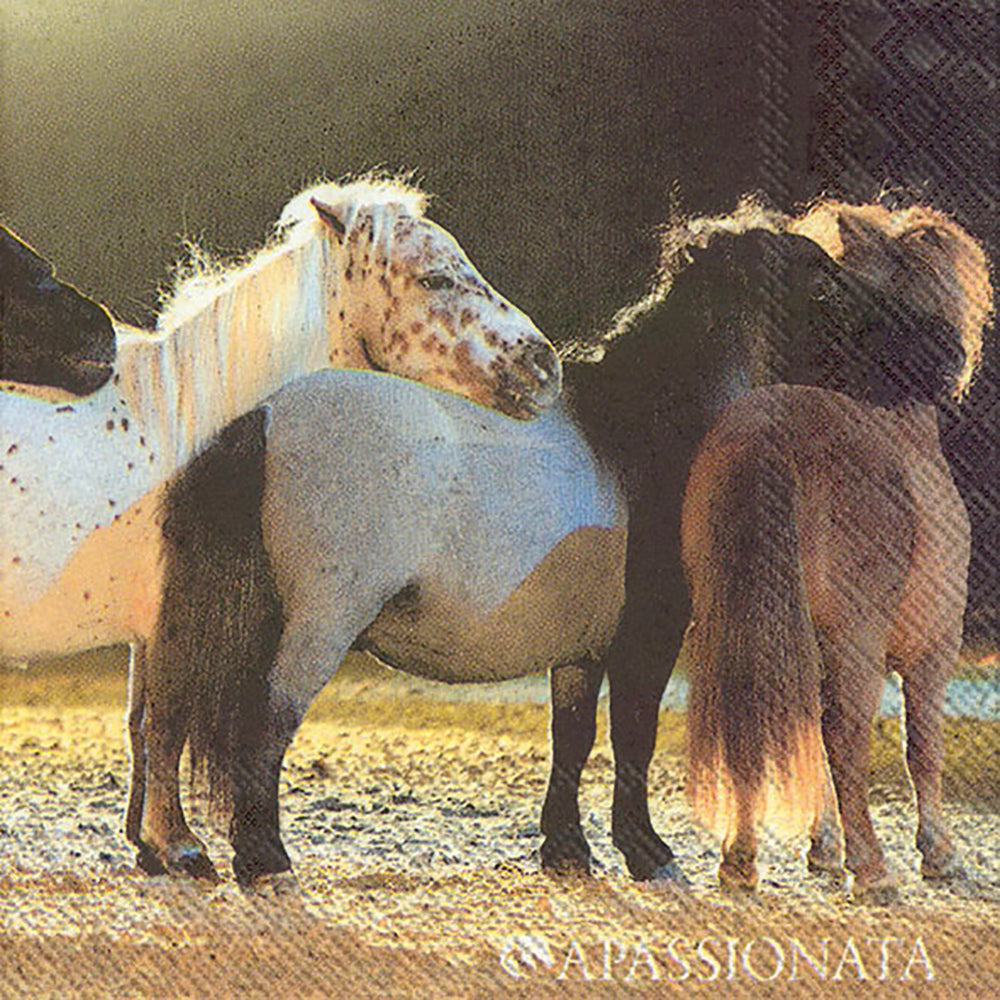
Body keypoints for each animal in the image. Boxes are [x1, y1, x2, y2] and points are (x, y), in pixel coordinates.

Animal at [681, 202, 993, 902]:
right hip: (856, 641)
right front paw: (938, 853)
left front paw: (822, 849)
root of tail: (768, 432)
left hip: (737, 624)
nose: (952, 358)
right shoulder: (933, 651)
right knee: (846, 739)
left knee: (750, 718)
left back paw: (739, 860)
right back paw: (872, 870)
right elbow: (920, 748)